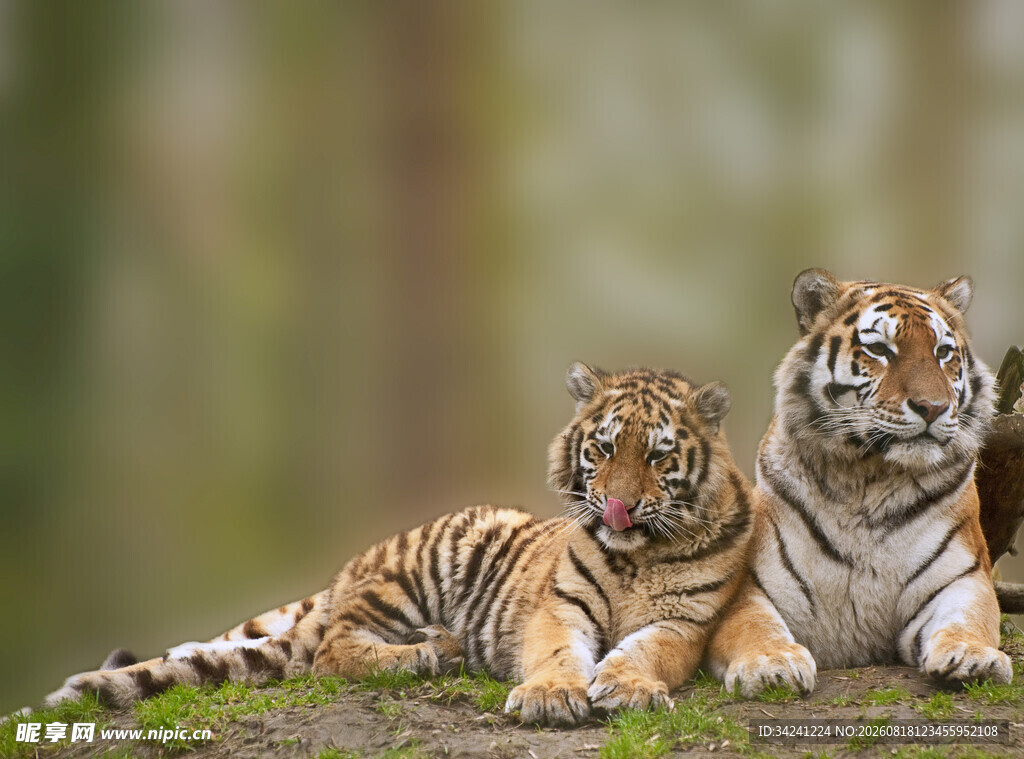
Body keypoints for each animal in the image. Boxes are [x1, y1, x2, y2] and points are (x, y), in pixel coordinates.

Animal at [44, 363, 753, 726]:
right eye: (603, 449)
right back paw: (422, 654)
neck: (638, 554)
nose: (617, 506)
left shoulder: (686, 621)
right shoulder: (560, 605)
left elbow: (649, 650)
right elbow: (557, 650)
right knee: (328, 653)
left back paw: (438, 647)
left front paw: (627, 686)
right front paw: (551, 696)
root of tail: (350, 570)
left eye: (658, 456)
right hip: (417, 569)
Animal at [706, 269, 1012, 698]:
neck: (868, 479)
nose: (933, 407)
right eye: (880, 350)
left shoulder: (963, 578)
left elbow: (966, 620)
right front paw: (770, 664)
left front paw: (973, 657)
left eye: (943, 353)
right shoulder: (750, 586)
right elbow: (754, 626)